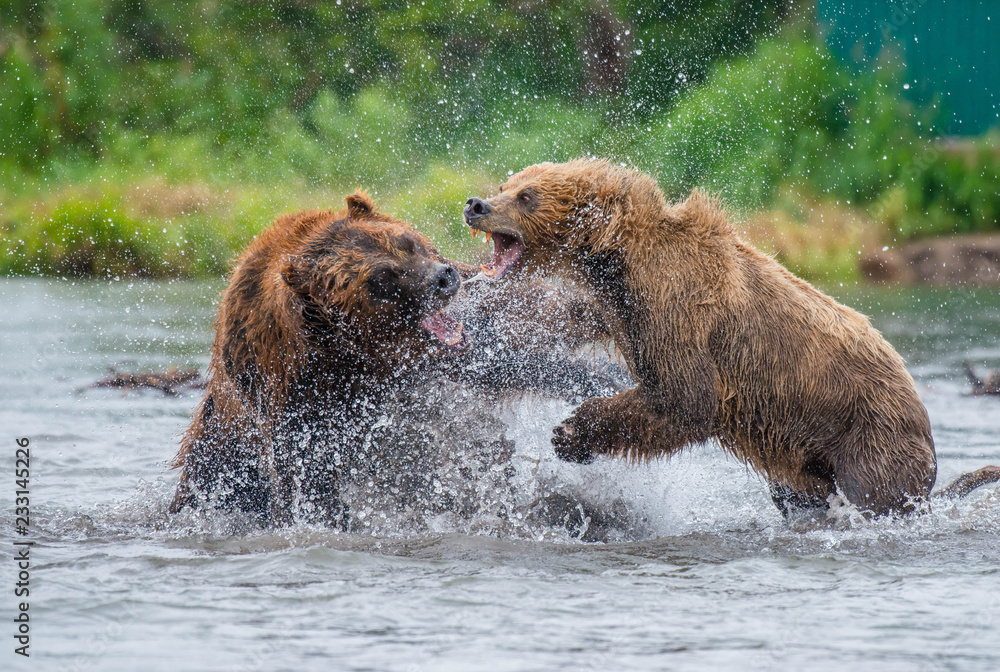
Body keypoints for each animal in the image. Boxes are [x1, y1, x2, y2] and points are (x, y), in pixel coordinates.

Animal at [169, 189, 629, 530]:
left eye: (407, 242)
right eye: (382, 280)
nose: (443, 278)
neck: (357, 357)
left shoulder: (443, 358)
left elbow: (516, 350)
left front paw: (606, 373)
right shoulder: (297, 392)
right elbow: (311, 473)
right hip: (221, 454)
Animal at [463, 159, 1000, 517]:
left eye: (528, 195)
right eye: (506, 184)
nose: (476, 204)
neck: (619, 258)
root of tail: (919, 406)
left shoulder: (678, 306)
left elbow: (686, 399)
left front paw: (571, 432)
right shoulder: (615, 307)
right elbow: (555, 313)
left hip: (868, 434)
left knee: (877, 494)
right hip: (808, 456)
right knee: (798, 493)